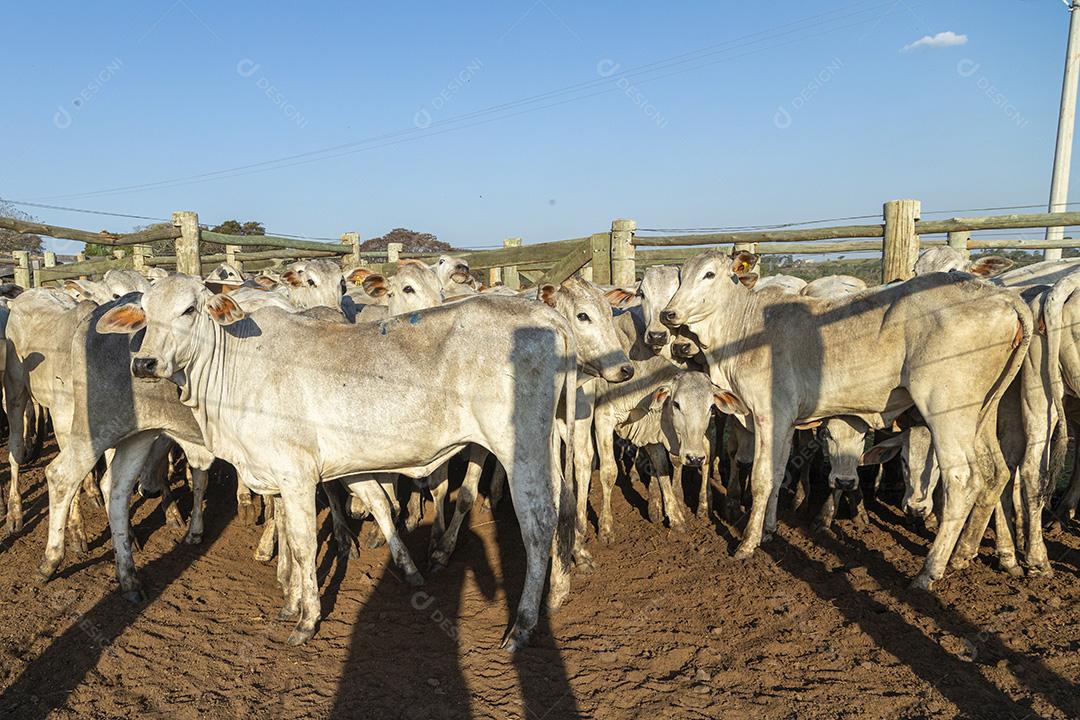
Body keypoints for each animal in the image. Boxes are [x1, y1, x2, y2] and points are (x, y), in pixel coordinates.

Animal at [96, 275, 589, 649]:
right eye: (144, 313)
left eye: (188, 310)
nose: (144, 363)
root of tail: (546, 315)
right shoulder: (278, 475)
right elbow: (293, 541)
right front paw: (291, 603)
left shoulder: (296, 474)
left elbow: (302, 544)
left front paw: (306, 620)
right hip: (547, 443)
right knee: (563, 506)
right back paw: (558, 593)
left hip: (519, 447)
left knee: (539, 522)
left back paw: (522, 626)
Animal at [661, 251, 1031, 590]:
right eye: (680, 275)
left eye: (709, 274)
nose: (668, 313)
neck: (743, 328)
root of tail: (999, 294)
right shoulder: (785, 421)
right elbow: (779, 472)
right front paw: (768, 530)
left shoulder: (768, 414)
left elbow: (763, 478)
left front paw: (747, 543)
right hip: (983, 412)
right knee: (994, 471)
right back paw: (965, 554)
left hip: (947, 410)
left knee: (962, 479)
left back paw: (929, 570)